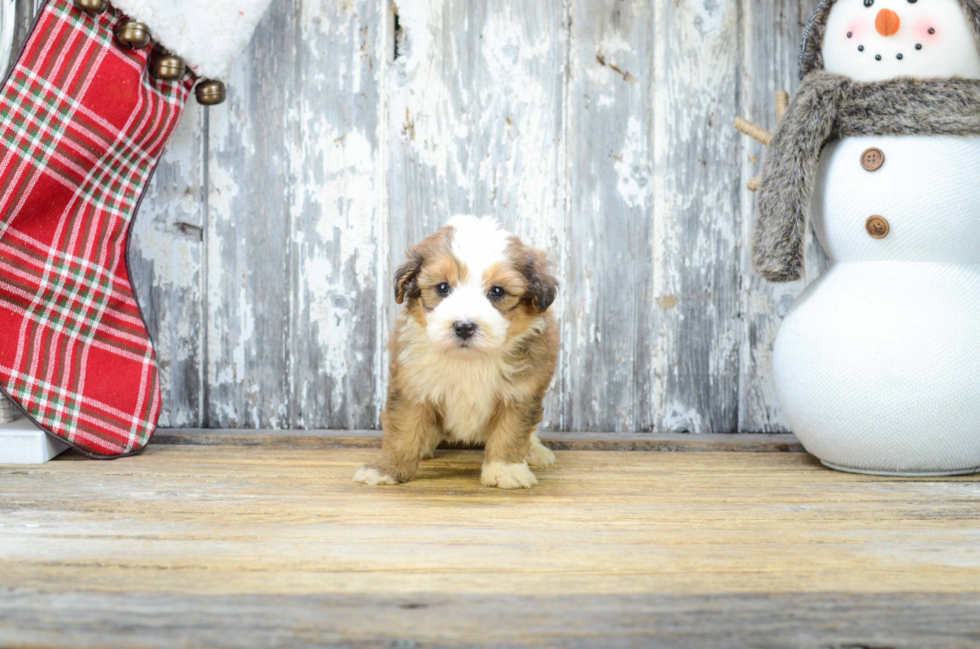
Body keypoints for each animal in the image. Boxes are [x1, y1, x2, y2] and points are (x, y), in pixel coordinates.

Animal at [354, 215, 560, 488]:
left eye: (497, 291)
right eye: (442, 288)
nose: (464, 327)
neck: (469, 360)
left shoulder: (521, 392)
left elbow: (511, 431)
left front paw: (505, 470)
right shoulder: (412, 385)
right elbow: (403, 430)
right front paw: (386, 469)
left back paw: (536, 451)